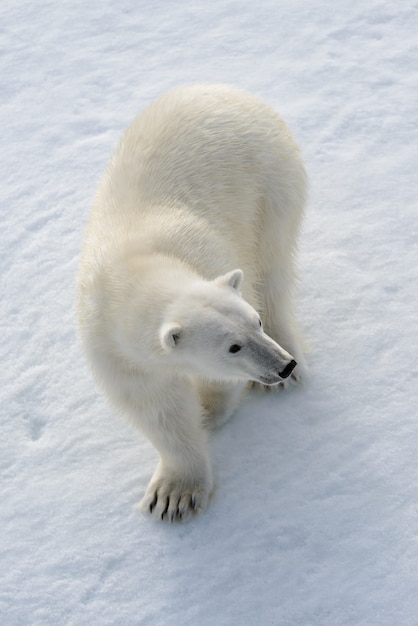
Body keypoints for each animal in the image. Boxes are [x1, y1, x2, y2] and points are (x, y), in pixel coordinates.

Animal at [77, 83, 306, 520]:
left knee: (271, 266)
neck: (135, 270)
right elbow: (157, 409)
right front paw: (172, 496)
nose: (283, 366)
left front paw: (205, 415)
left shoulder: (212, 256)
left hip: (271, 183)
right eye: (233, 346)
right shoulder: (111, 346)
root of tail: (225, 89)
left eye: (255, 323)